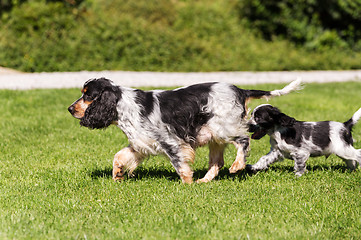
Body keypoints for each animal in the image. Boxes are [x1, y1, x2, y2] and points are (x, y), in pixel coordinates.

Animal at [68, 78, 300, 183]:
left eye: (87, 95)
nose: (70, 109)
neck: (123, 105)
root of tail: (240, 90)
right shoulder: (141, 143)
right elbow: (119, 156)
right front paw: (117, 174)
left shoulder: (170, 141)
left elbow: (180, 165)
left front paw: (186, 184)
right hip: (215, 138)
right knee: (217, 162)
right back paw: (204, 181)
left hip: (224, 129)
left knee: (243, 140)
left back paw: (237, 166)